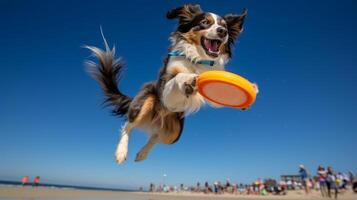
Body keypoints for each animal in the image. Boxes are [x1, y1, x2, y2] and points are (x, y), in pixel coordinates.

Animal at [86, 4, 248, 164]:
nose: (223, 31)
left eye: (224, 26)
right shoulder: (166, 88)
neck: (198, 59)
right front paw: (188, 79)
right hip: (145, 103)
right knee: (128, 125)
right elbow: (178, 77)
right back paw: (121, 152)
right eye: (204, 22)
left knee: (156, 136)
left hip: (174, 133)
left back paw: (142, 154)